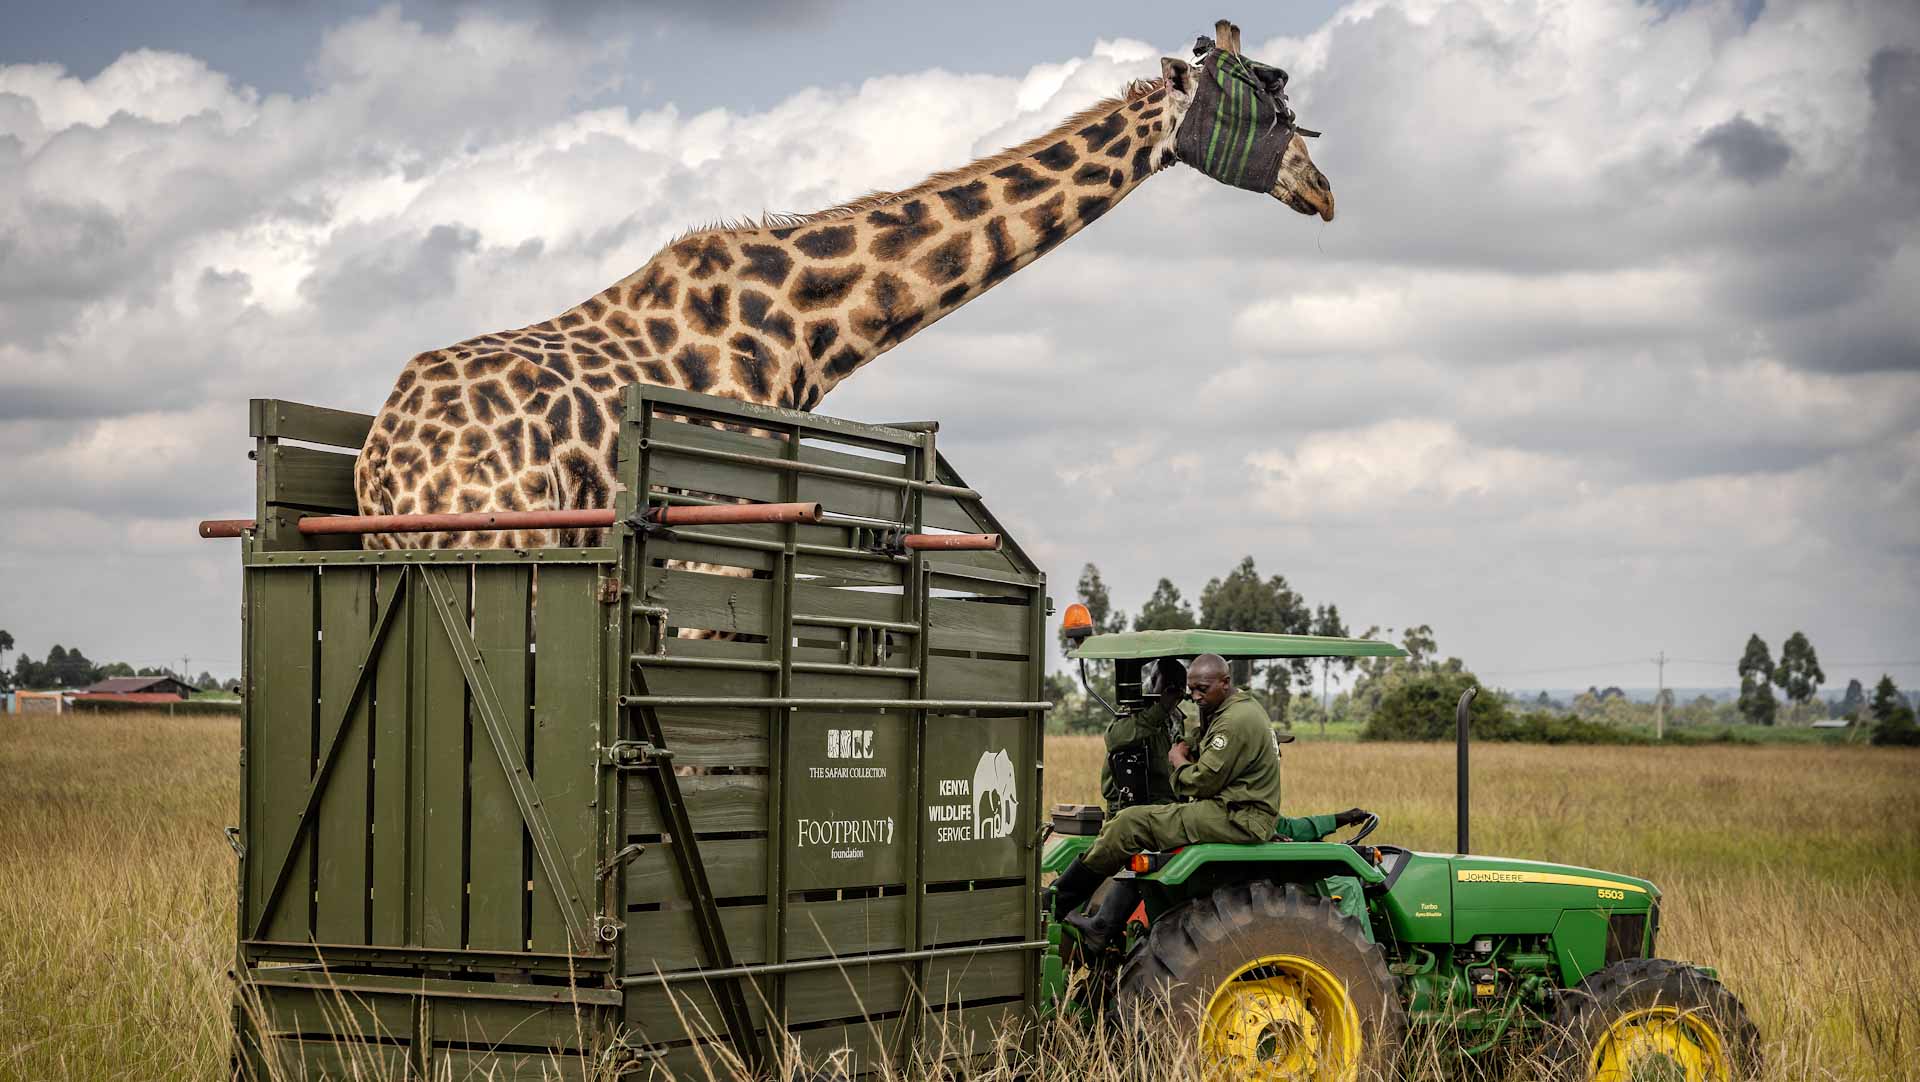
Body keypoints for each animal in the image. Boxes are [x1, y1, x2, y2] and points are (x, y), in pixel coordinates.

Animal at [354, 21, 1332, 549]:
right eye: (1262, 98)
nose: (1323, 191)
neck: (807, 328)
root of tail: (386, 468)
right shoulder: (719, 538)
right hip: (498, 532)